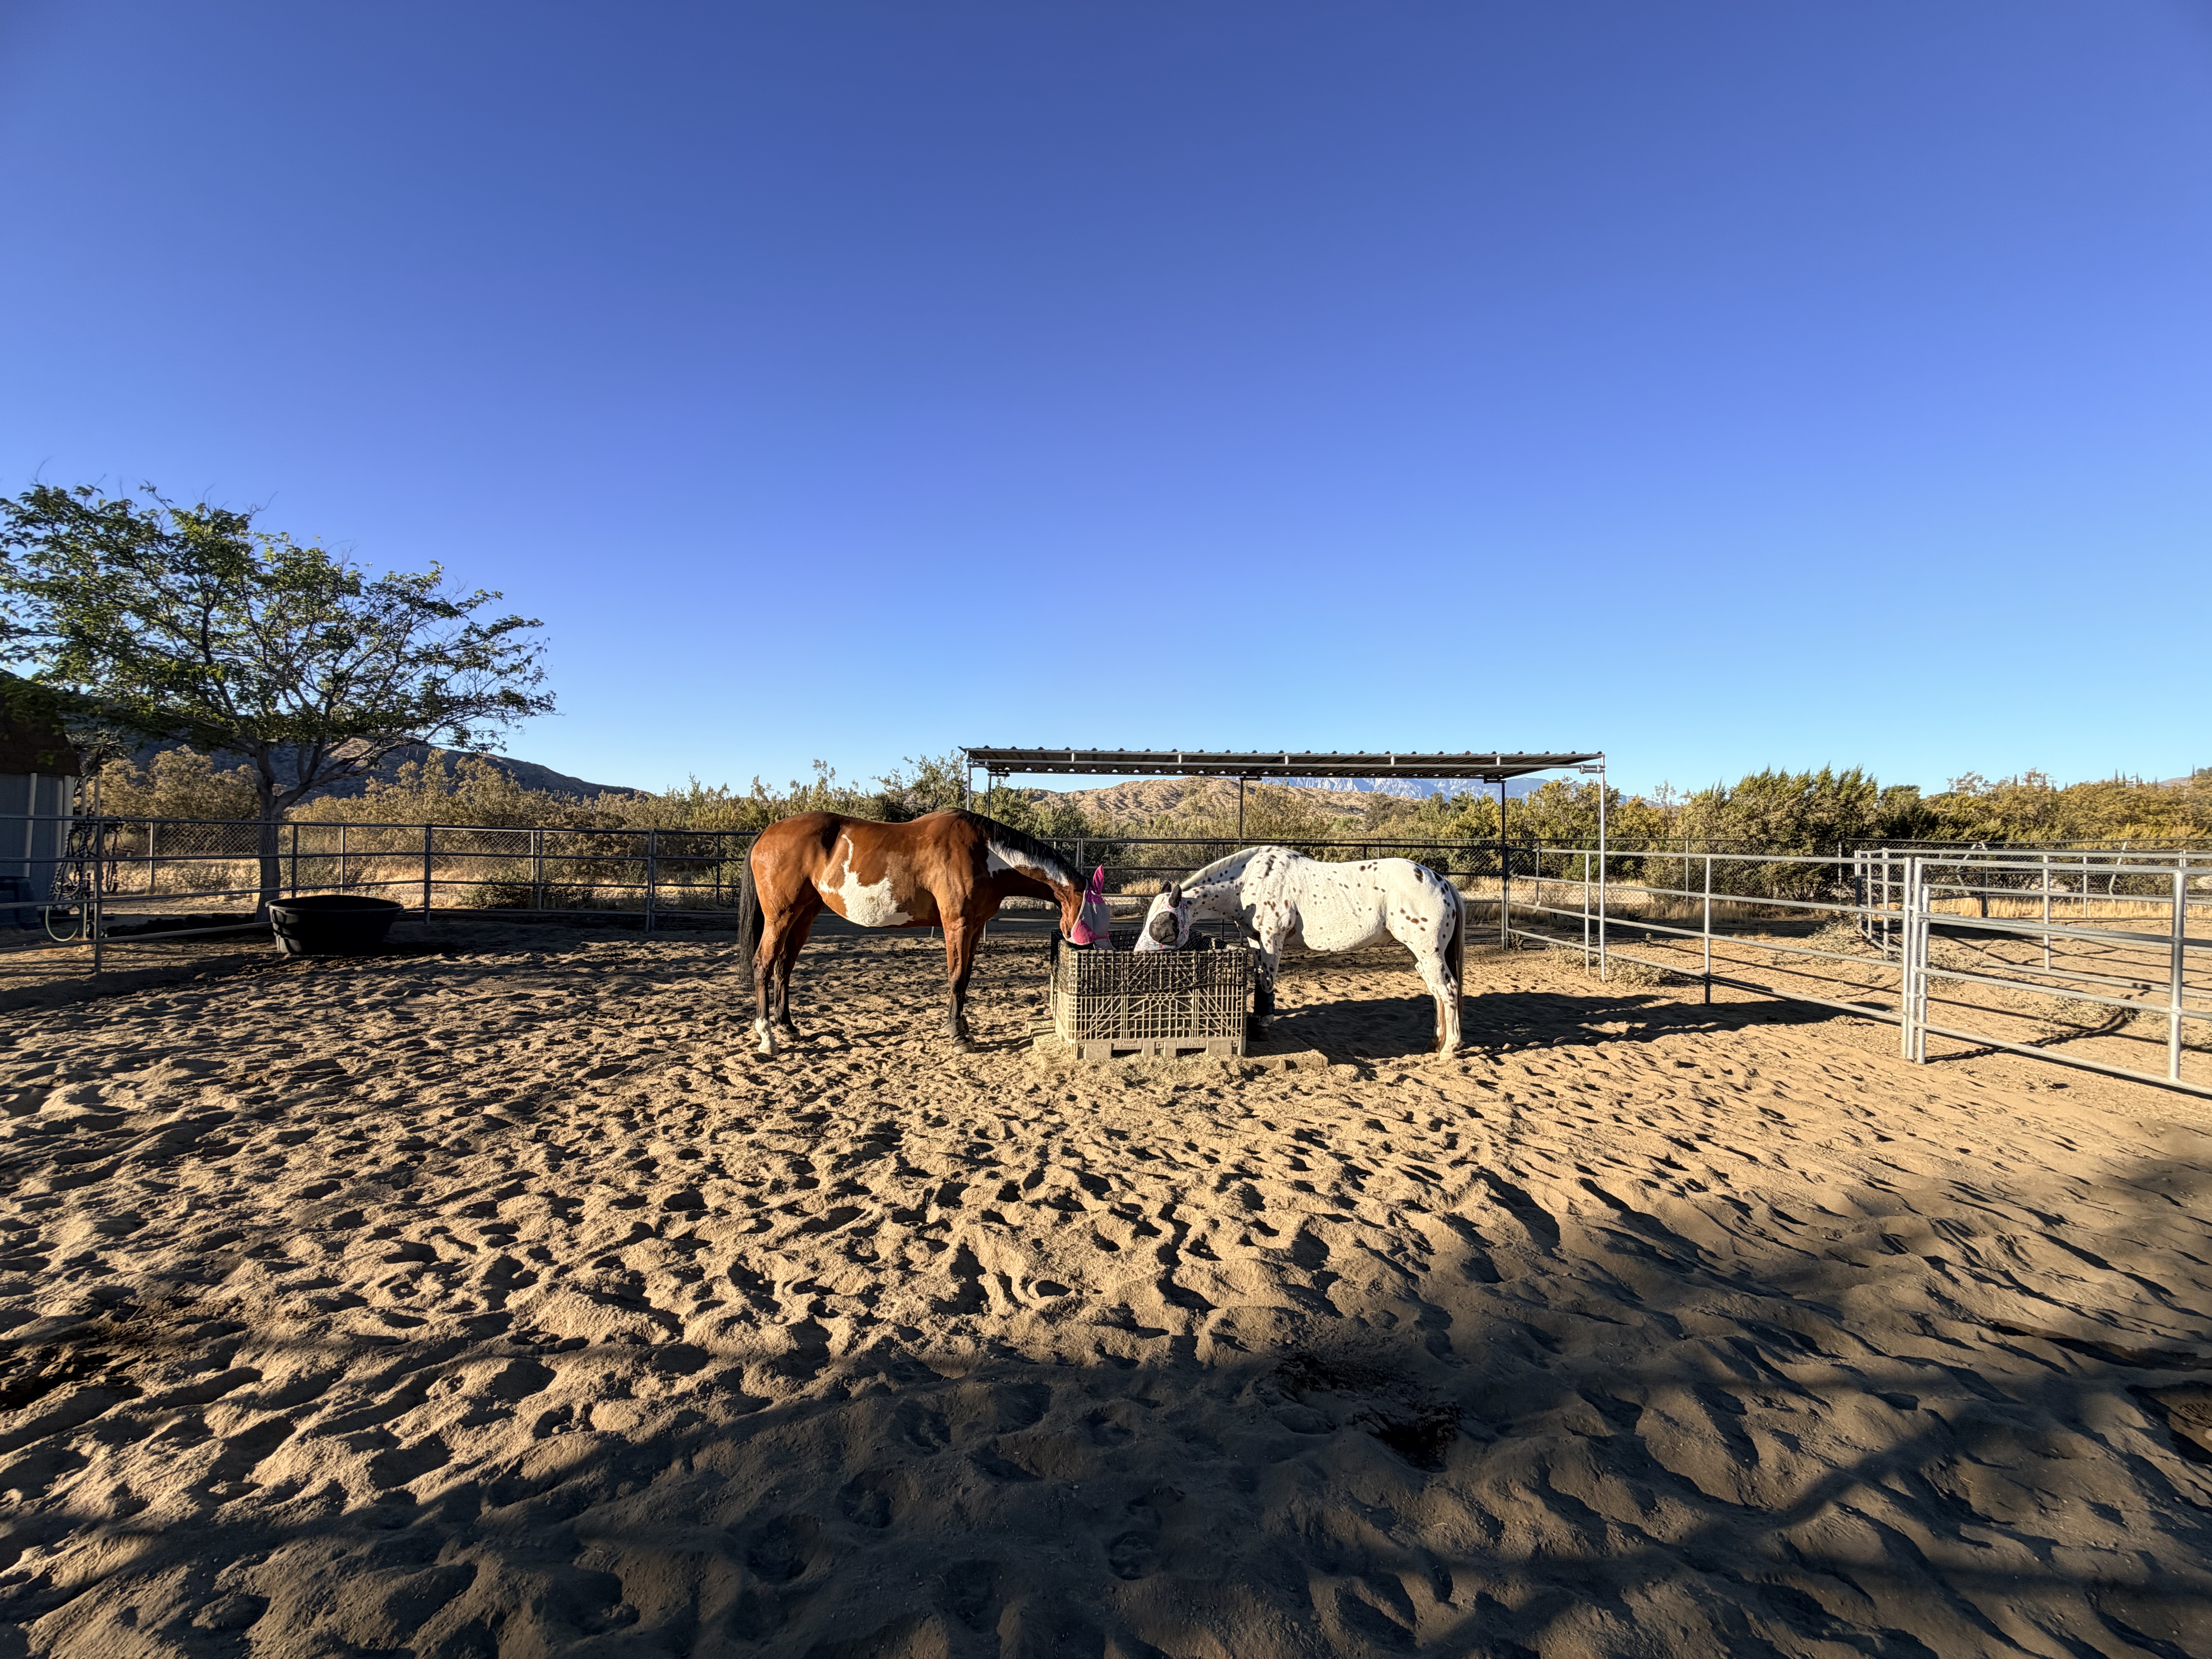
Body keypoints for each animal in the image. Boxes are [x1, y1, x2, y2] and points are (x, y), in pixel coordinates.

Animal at [735, 810, 1108, 1055]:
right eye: (1092, 919)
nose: (1099, 963)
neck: (986, 853)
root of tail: (766, 834)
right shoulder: (957, 924)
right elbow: (956, 978)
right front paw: (958, 1036)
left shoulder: (974, 928)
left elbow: (965, 977)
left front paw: (964, 1028)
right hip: (780, 917)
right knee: (763, 965)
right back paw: (768, 1038)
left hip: (804, 915)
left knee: (784, 966)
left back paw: (788, 1027)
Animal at [1134, 847, 1465, 1054]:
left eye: (1163, 925)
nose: (1138, 959)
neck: (1249, 881)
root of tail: (1443, 882)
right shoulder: (1255, 939)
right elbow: (1259, 979)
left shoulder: (1272, 938)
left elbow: (1267, 981)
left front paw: (1263, 1026)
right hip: (1421, 955)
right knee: (1436, 991)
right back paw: (1435, 1043)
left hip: (1428, 951)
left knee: (1448, 989)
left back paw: (1450, 1049)